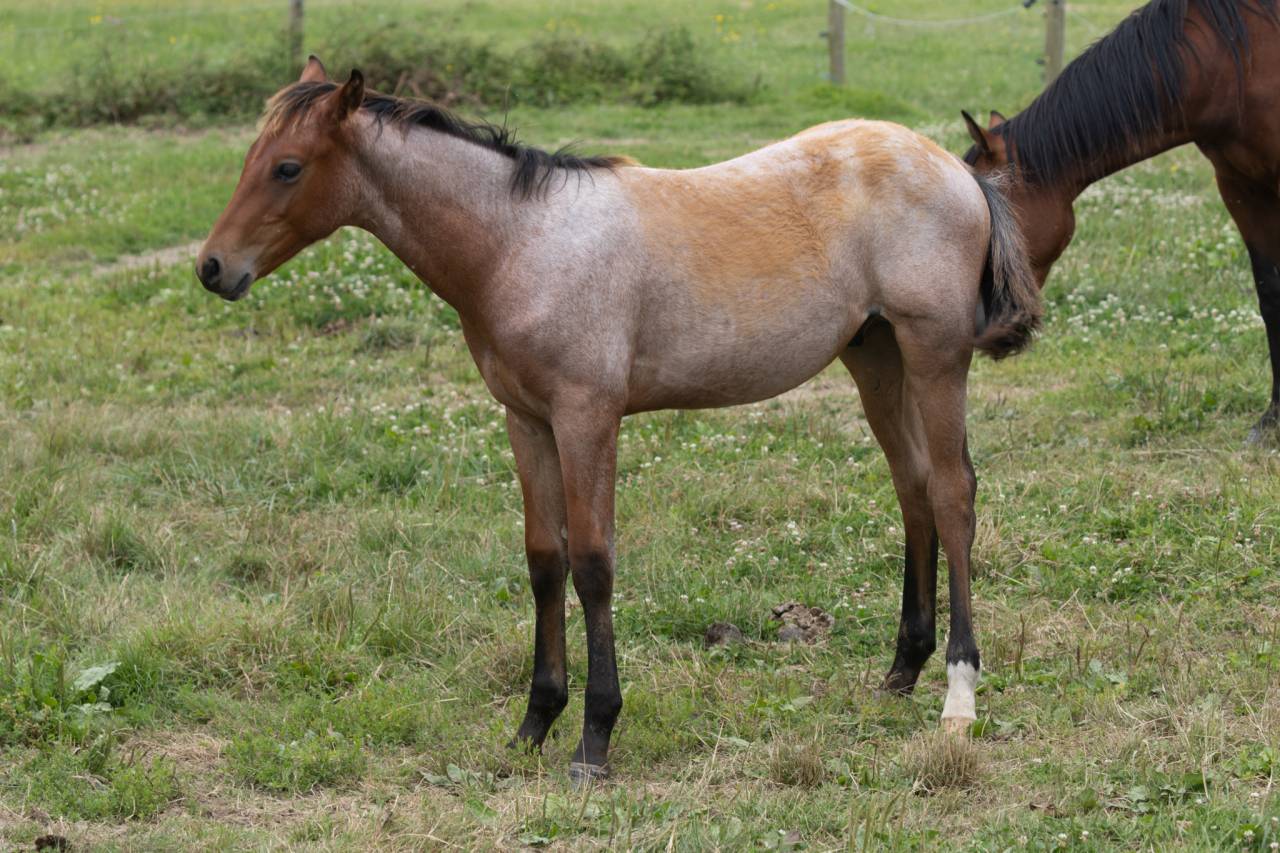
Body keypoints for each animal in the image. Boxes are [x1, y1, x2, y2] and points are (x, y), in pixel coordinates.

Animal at [197, 56, 1041, 780]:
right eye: (250, 156)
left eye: (288, 167)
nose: (212, 267)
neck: (520, 243)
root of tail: (959, 170)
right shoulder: (526, 420)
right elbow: (545, 560)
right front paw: (534, 723)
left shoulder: (587, 417)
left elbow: (594, 563)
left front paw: (594, 737)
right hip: (875, 357)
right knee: (914, 489)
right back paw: (900, 670)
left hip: (933, 356)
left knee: (952, 495)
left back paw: (958, 695)